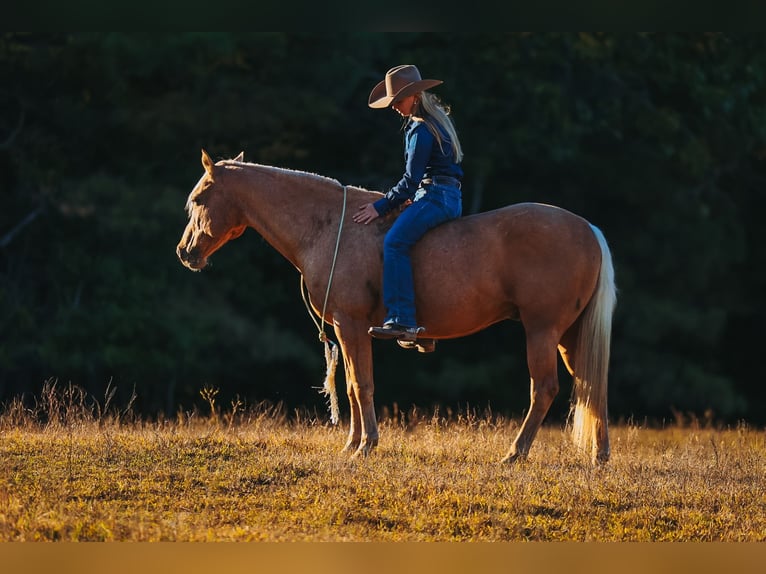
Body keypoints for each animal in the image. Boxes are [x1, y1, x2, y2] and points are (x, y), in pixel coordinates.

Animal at [176, 150, 617, 464]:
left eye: (199, 198)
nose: (185, 252)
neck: (331, 227)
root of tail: (589, 229)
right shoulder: (347, 328)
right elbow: (352, 385)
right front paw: (352, 443)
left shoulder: (350, 324)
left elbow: (361, 383)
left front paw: (366, 445)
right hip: (568, 336)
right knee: (592, 386)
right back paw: (599, 455)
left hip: (541, 331)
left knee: (544, 388)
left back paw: (515, 452)